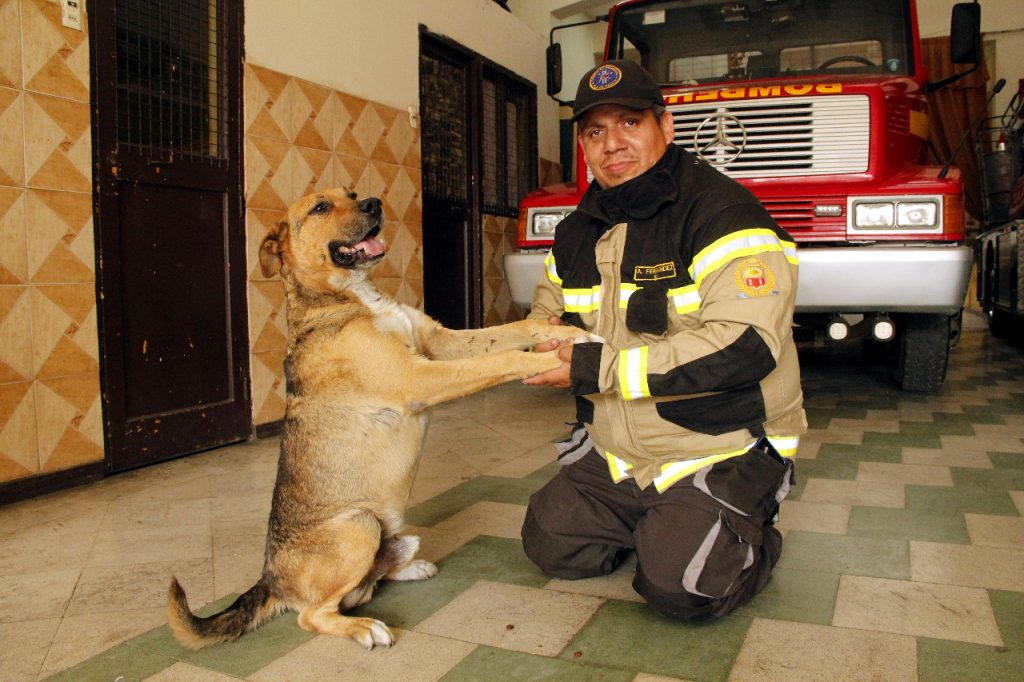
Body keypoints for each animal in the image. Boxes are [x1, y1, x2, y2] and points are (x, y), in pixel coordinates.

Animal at [163, 187, 589, 647]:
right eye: (320, 207)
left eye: (350, 194)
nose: (372, 204)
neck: (350, 296)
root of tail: (270, 581)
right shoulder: (418, 377)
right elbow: (504, 358)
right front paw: (558, 359)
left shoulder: (441, 343)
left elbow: (513, 331)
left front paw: (570, 333)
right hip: (360, 525)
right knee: (314, 614)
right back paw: (363, 627)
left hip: (391, 533)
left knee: (368, 584)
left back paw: (408, 568)